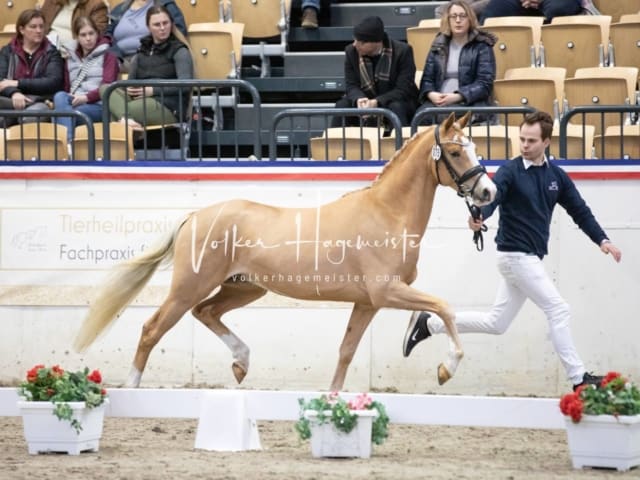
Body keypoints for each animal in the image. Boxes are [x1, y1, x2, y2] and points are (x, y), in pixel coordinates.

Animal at [74, 112, 496, 390]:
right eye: (455, 153)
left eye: (474, 147)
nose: (487, 192)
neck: (386, 213)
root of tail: (196, 215)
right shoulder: (386, 292)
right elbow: (444, 307)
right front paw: (447, 369)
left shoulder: (367, 302)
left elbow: (346, 351)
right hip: (189, 287)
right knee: (153, 329)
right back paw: (133, 388)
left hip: (244, 287)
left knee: (207, 312)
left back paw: (241, 363)